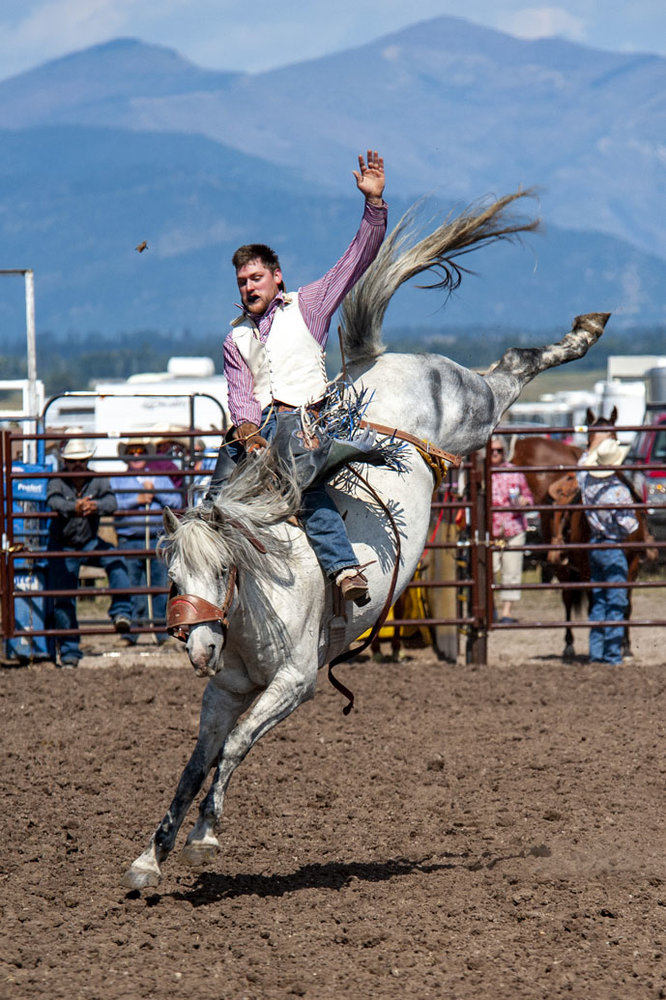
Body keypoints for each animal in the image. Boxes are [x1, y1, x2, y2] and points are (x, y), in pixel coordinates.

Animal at [120, 191, 608, 888]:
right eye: (172, 578)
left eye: (223, 572)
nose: (199, 646)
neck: (259, 600)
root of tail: (379, 361)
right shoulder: (226, 689)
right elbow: (195, 764)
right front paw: (149, 859)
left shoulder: (295, 682)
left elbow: (235, 749)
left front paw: (205, 838)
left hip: (476, 412)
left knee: (514, 365)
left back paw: (585, 332)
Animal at [508, 410, 652, 660]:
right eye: (589, 438)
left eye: (614, 436)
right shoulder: (586, 566)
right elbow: (595, 601)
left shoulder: (633, 564)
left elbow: (626, 603)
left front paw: (625, 646)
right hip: (564, 567)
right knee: (568, 599)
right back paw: (569, 645)